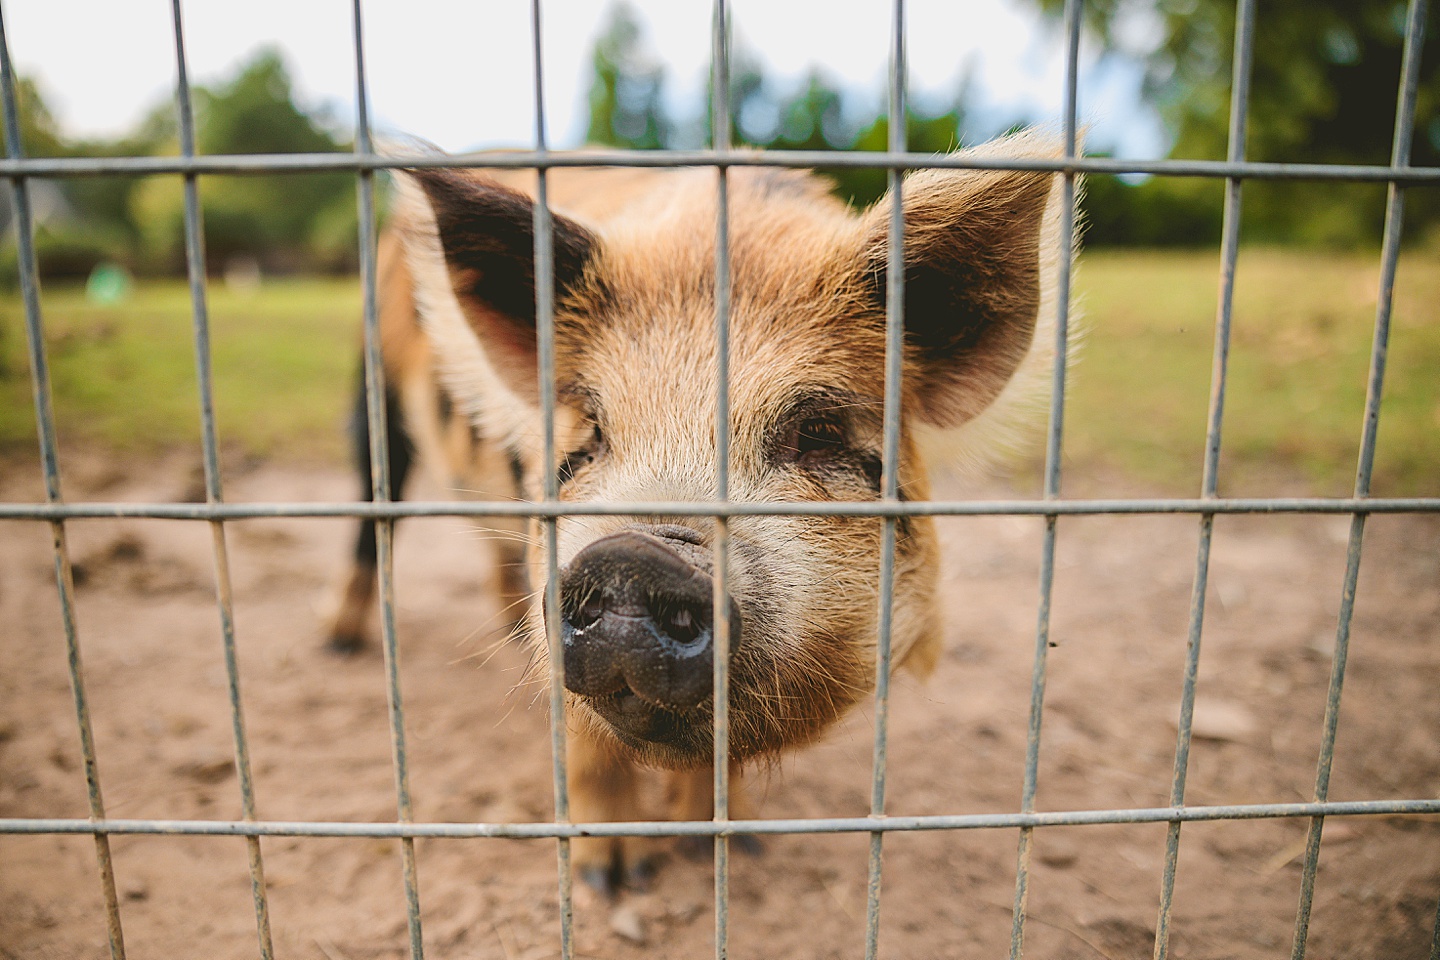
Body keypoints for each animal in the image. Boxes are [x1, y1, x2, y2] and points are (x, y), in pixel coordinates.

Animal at [326, 133, 1071, 892]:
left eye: (818, 431)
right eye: (593, 428)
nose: (632, 557)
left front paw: (729, 850)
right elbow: (583, 740)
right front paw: (614, 878)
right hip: (371, 394)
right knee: (372, 518)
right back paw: (340, 644)